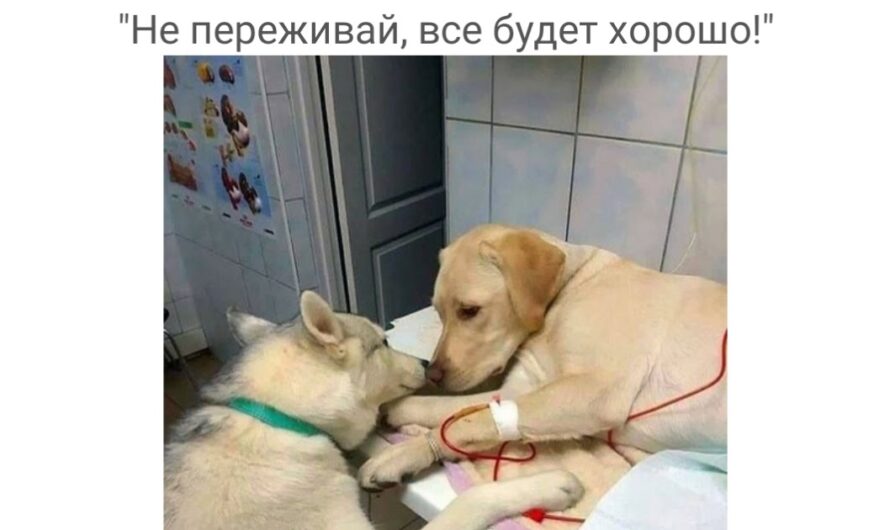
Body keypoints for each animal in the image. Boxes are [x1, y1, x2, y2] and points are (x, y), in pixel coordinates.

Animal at [358, 222, 724, 486]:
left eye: (469, 310)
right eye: (437, 312)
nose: (433, 373)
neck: (565, 293)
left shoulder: (594, 392)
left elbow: (465, 422)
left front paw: (403, 454)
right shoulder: (519, 390)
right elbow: (447, 410)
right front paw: (397, 406)